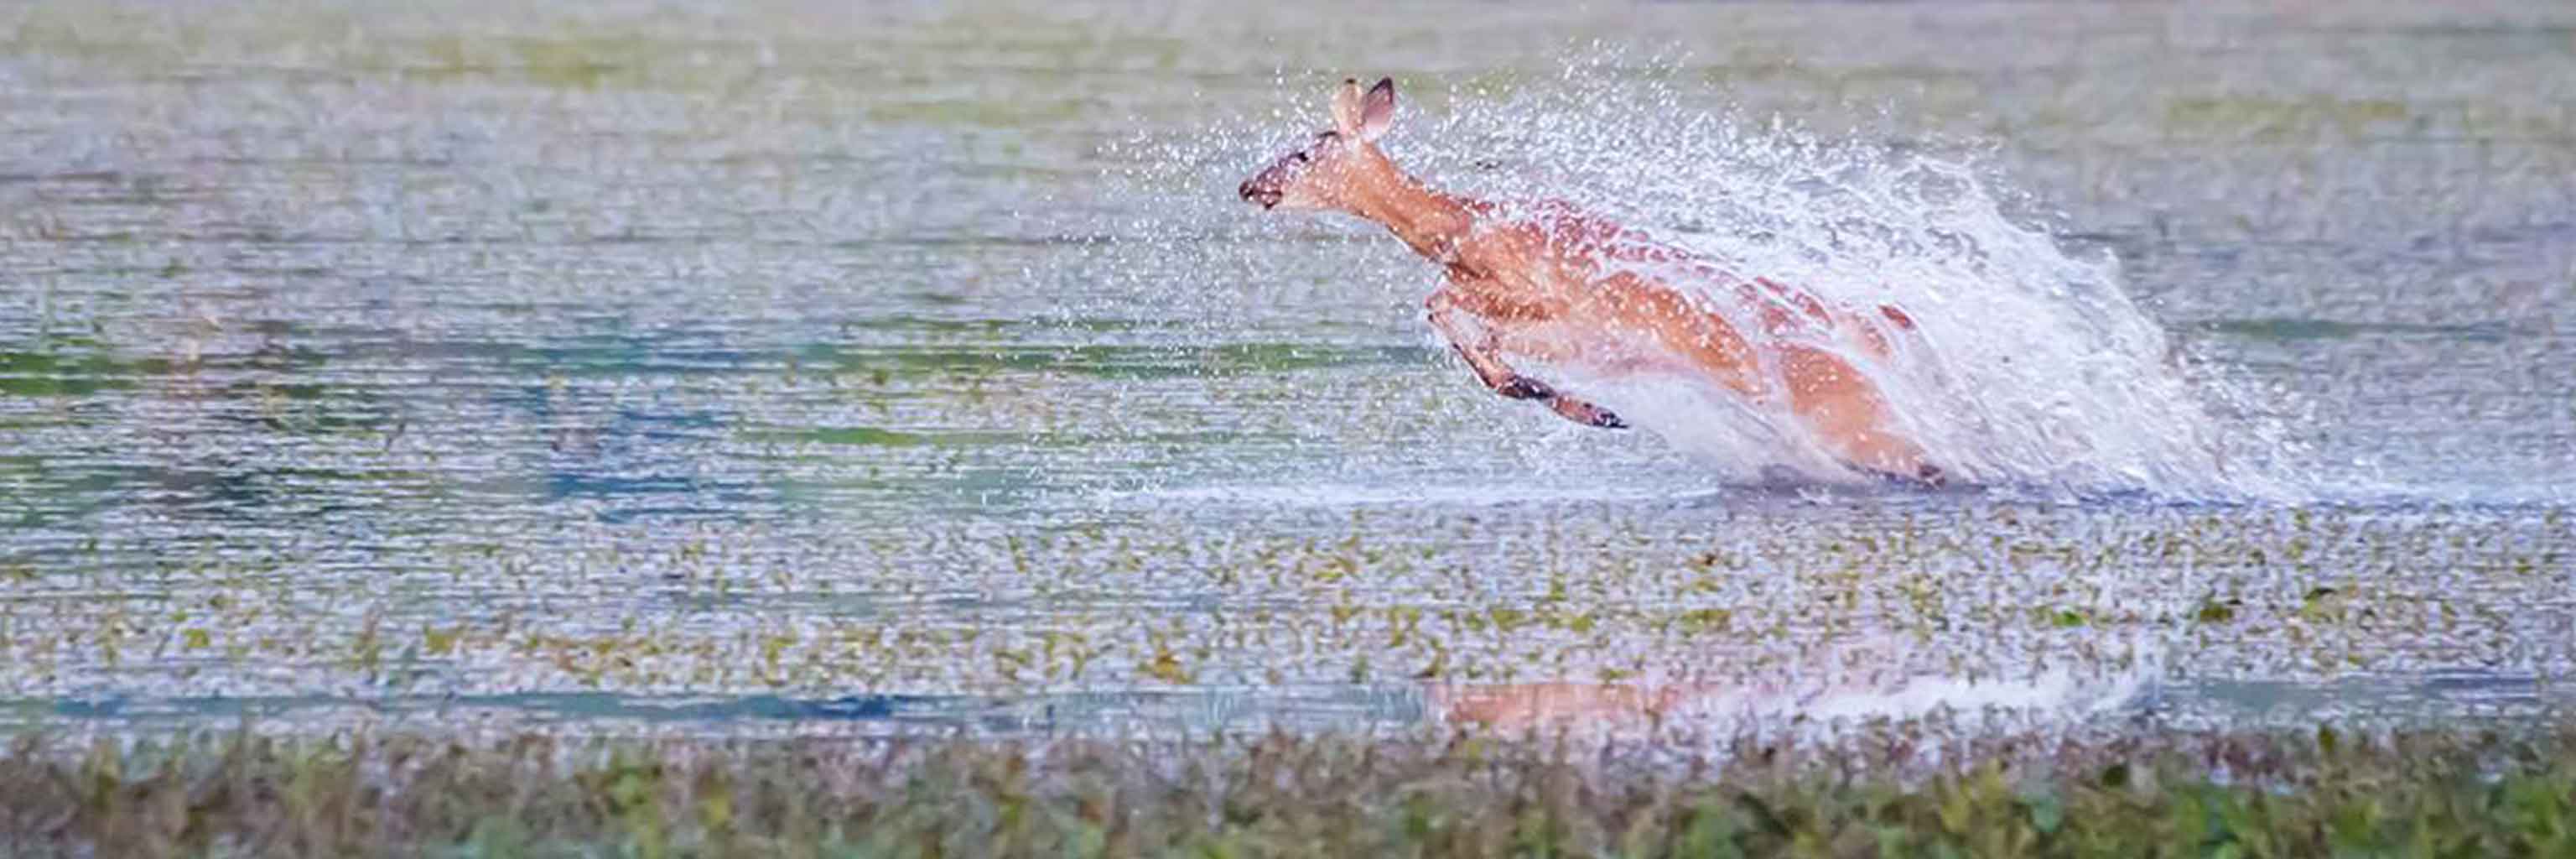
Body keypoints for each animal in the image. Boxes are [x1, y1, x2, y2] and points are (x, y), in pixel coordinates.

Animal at [1236, 76, 1937, 485]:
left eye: (1303, 152)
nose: (1248, 186)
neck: (1463, 228)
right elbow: (1460, 326)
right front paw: (1576, 403)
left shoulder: (1555, 302)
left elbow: (1446, 305)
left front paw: (1557, 395)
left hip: (1848, 409)